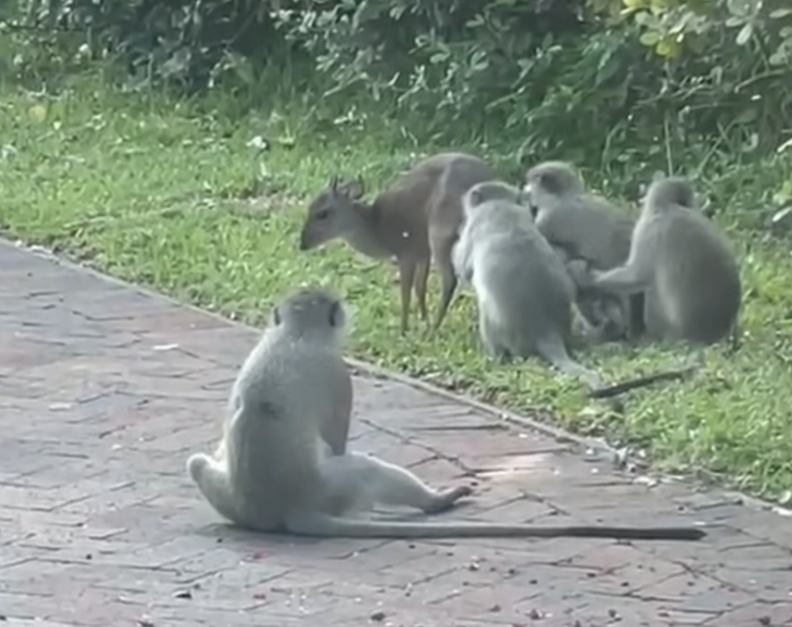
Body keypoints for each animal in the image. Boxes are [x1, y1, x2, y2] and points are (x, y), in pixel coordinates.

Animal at [187, 287, 705, 540]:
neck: (292, 334)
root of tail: (282, 510)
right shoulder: (338, 372)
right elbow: (336, 441)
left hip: (232, 497)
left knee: (196, 464)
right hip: (330, 488)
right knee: (363, 468)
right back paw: (437, 502)